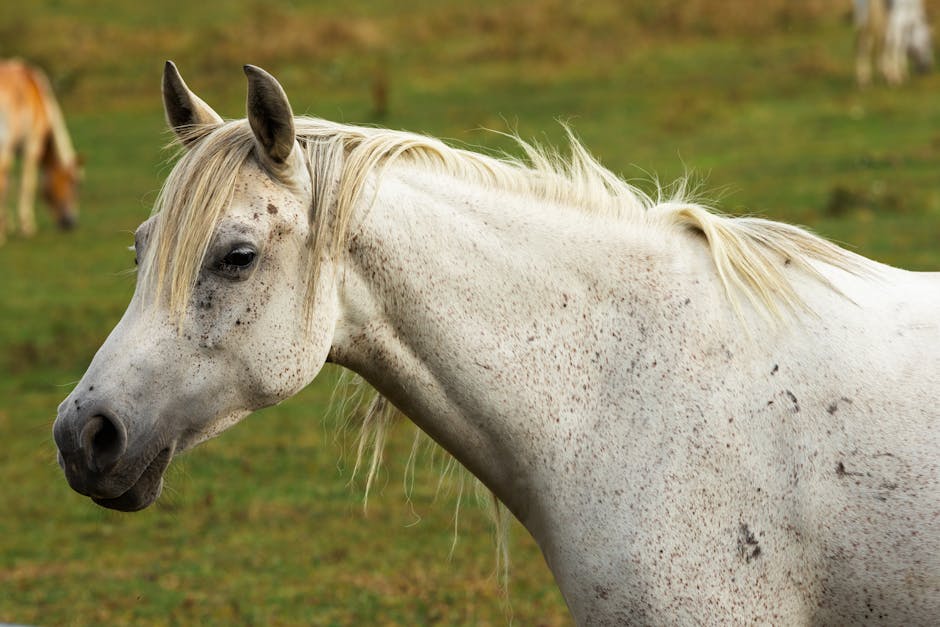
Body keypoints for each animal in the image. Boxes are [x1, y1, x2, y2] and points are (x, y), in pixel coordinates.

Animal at [0, 59, 80, 245]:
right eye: (73, 184)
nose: (71, 222)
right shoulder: (32, 144)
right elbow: (27, 183)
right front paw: (26, 225)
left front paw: (8, 224)